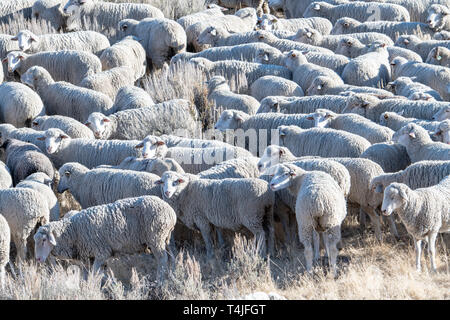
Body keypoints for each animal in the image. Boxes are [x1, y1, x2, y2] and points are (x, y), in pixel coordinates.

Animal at [33, 195, 177, 280]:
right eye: (35, 241)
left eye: (44, 240)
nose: (38, 259)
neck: (73, 231)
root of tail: (171, 212)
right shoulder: (88, 258)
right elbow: (86, 277)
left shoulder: (101, 253)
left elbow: (94, 275)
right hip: (165, 238)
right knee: (171, 256)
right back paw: (172, 275)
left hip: (156, 238)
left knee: (162, 259)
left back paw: (160, 281)